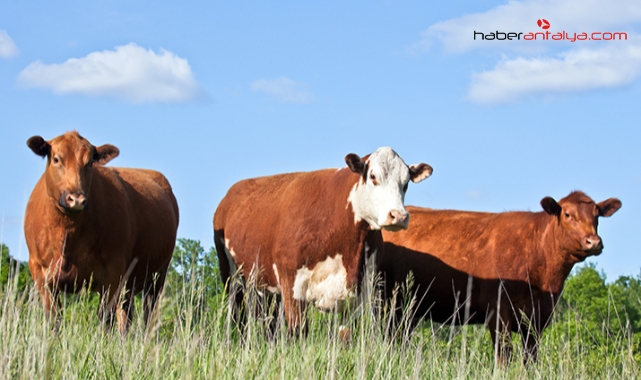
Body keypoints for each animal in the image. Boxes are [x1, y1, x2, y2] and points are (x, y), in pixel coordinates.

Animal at [24, 132, 179, 334]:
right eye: (56, 159)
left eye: (90, 162)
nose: (76, 199)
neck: (67, 236)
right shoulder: (40, 272)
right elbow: (53, 320)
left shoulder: (113, 273)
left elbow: (105, 319)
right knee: (126, 315)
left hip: (157, 276)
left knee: (148, 316)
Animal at [214, 147, 430, 334]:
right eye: (373, 176)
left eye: (406, 183)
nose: (398, 216)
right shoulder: (292, 286)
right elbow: (298, 333)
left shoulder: (358, 294)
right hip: (232, 277)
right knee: (236, 317)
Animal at [380, 191, 620, 364]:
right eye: (568, 214)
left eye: (597, 215)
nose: (593, 241)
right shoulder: (498, 313)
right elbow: (504, 358)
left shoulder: (538, 319)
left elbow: (530, 359)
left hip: (408, 308)